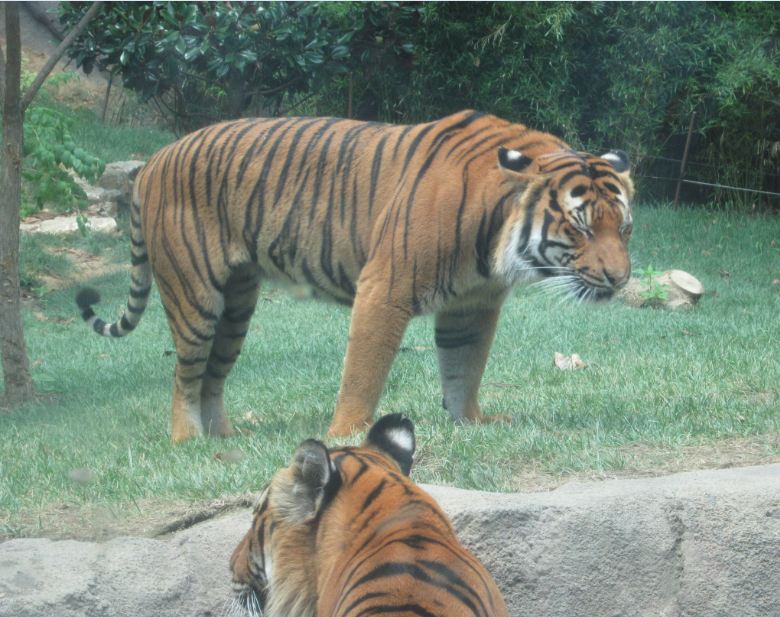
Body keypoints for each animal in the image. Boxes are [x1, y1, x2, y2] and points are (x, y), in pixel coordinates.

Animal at [75, 110, 633, 441]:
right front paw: (345, 434)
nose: (620, 279)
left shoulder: (473, 305)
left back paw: (225, 438)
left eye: (624, 228)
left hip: (237, 305)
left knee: (214, 374)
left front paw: (470, 422)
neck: (497, 231)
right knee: (185, 374)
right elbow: (365, 369)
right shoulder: (385, 288)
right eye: (581, 228)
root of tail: (153, 161)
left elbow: (463, 367)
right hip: (195, 297)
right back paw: (189, 438)